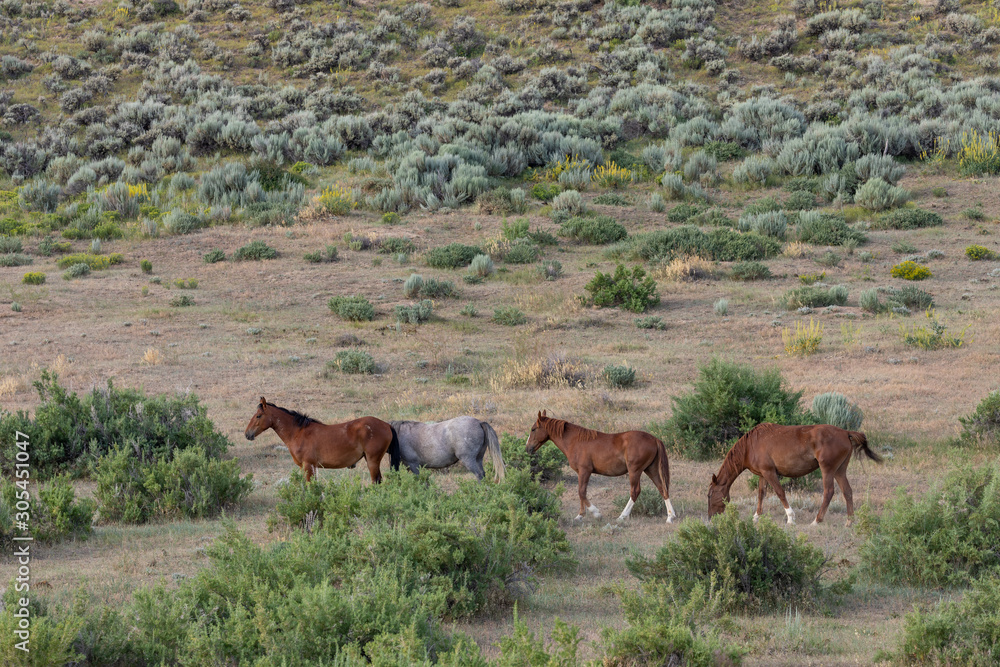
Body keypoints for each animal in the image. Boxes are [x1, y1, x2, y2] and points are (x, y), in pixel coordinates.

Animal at [244, 397, 400, 483]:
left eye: (258, 416)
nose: (247, 434)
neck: (298, 432)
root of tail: (386, 425)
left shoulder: (308, 466)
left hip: (372, 461)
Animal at [525, 410, 676, 522]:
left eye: (533, 429)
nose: (527, 449)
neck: (575, 441)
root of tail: (654, 439)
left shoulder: (585, 471)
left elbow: (581, 492)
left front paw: (595, 513)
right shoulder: (581, 473)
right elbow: (581, 492)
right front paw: (580, 516)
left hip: (635, 471)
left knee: (635, 491)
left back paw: (622, 516)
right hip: (651, 469)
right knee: (662, 488)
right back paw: (670, 516)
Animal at [707, 423, 882, 526]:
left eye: (710, 495)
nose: (710, 519)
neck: (750, 445)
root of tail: (845, 432)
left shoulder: (769, 472)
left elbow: (780, 492)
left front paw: (791, 518)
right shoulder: (763, 474)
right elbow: (761, 494)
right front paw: (756, 517)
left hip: (828, 470)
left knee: (829, 492)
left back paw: (817, 521)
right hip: (840, 471)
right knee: (847, 492)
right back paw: (849, 522)